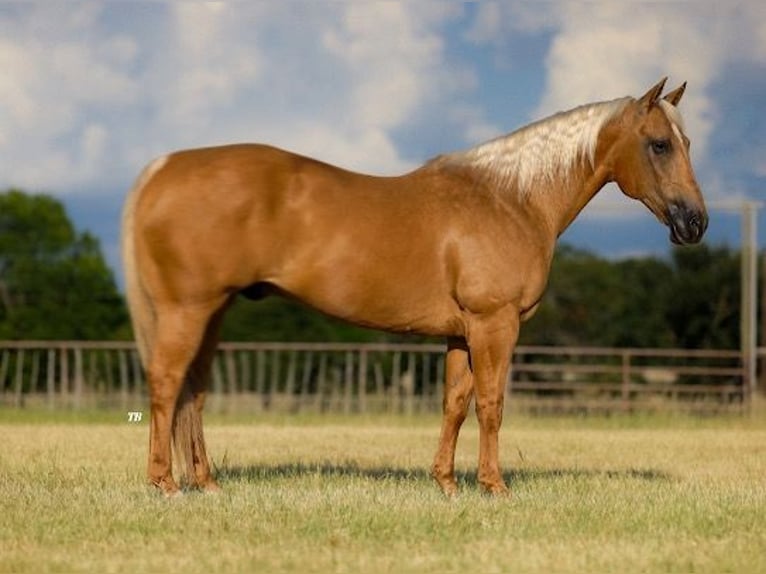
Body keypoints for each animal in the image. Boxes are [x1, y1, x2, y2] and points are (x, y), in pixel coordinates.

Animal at [121, 79, 708, 498]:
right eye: (659, 144)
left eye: (686, 143)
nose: (695, 223)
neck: (510, 199)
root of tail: (163, 168)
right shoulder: (495, 324)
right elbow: (491, 403)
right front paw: (494, 487)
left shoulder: (461, 333)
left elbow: (454, 403)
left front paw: (446, 483)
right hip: (188, 309)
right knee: (167, 383)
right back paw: (165, 484)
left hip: (211, 313)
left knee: (193, 391)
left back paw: (206, 483)